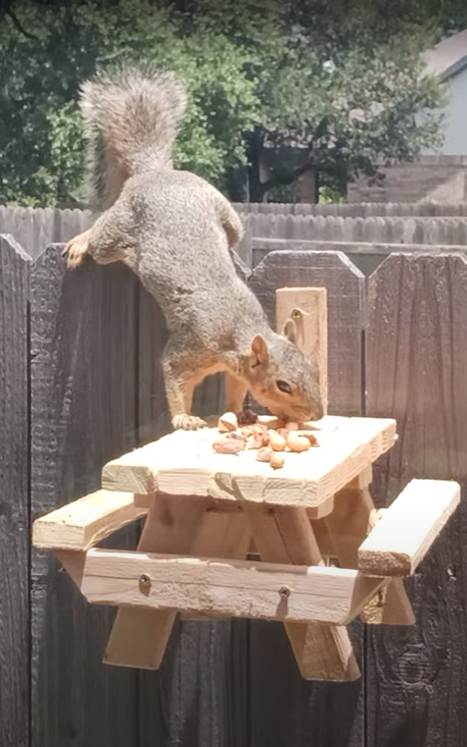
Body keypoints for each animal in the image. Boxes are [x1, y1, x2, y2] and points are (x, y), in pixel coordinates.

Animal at [63, 65, 324, 430]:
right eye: (282, 385)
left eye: (314, 368)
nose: (318, 414)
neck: (237, 332)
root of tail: (156, 172)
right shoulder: (192, 347)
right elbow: (173, 376)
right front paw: (185, 419)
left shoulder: (236, 370)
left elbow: (234, 390)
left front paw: (240, 413)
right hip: (116, 231)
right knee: (100, 238)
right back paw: (80, 241)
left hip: (230, 220)